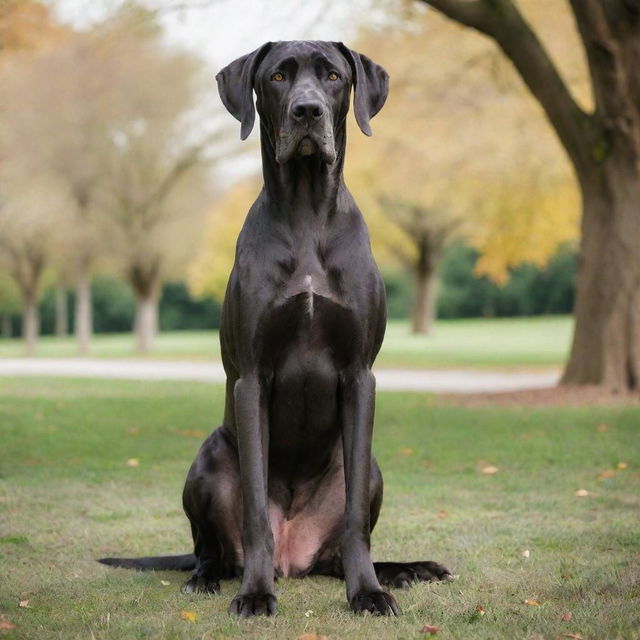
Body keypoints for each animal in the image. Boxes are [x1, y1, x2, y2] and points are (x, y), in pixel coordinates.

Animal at [100, 38, 450, 616]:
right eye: (279, 77)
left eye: (333, 76)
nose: (307, 111)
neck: (307, 212)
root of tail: (295, 558)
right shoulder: (252, 377)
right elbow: (254, 513)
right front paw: (256, 594)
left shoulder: (360, 375)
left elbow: (356, 522)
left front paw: (368, 592)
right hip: (210, 459)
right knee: (212, 548)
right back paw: (208, 577)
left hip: (371, 469)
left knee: (342, 543)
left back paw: (404, 570)